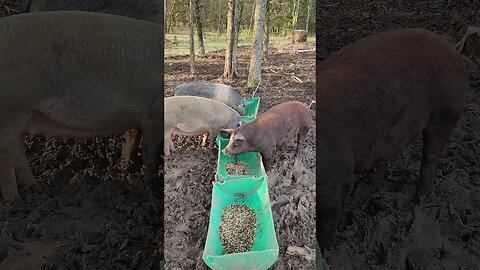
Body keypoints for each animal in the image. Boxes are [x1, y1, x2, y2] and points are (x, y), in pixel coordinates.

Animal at [0, 10, 164, 200]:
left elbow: (133, 137)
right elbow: (151, 152)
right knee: (6, 161)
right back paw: (15, 201)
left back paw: (35, 189)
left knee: (18, 153)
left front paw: (125, 166)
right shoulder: (155, 114)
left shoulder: (140, 116)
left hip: (21, 116)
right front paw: (152, 187)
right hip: (9, 113)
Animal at [316, 28, 468, 252]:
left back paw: (419, 200)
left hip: (446, 110)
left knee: (430, 158)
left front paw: (327, 250)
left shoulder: (335, 179)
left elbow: (326, 225)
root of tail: (450, 46)